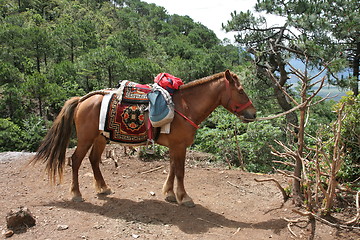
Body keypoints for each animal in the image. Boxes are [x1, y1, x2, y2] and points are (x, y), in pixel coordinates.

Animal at [30, 69, 256, 206]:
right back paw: (76, 193)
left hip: (100, 138)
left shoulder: (175, 146)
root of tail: (84, 99)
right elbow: (180, 171)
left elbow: (172, 168)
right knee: (75, 160)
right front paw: (184, 197)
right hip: (86, 138)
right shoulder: (179, 146)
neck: (185, 107)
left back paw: (103, 188)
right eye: (241, 91)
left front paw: (169, 193)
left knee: (93, 160)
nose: (253, 114)